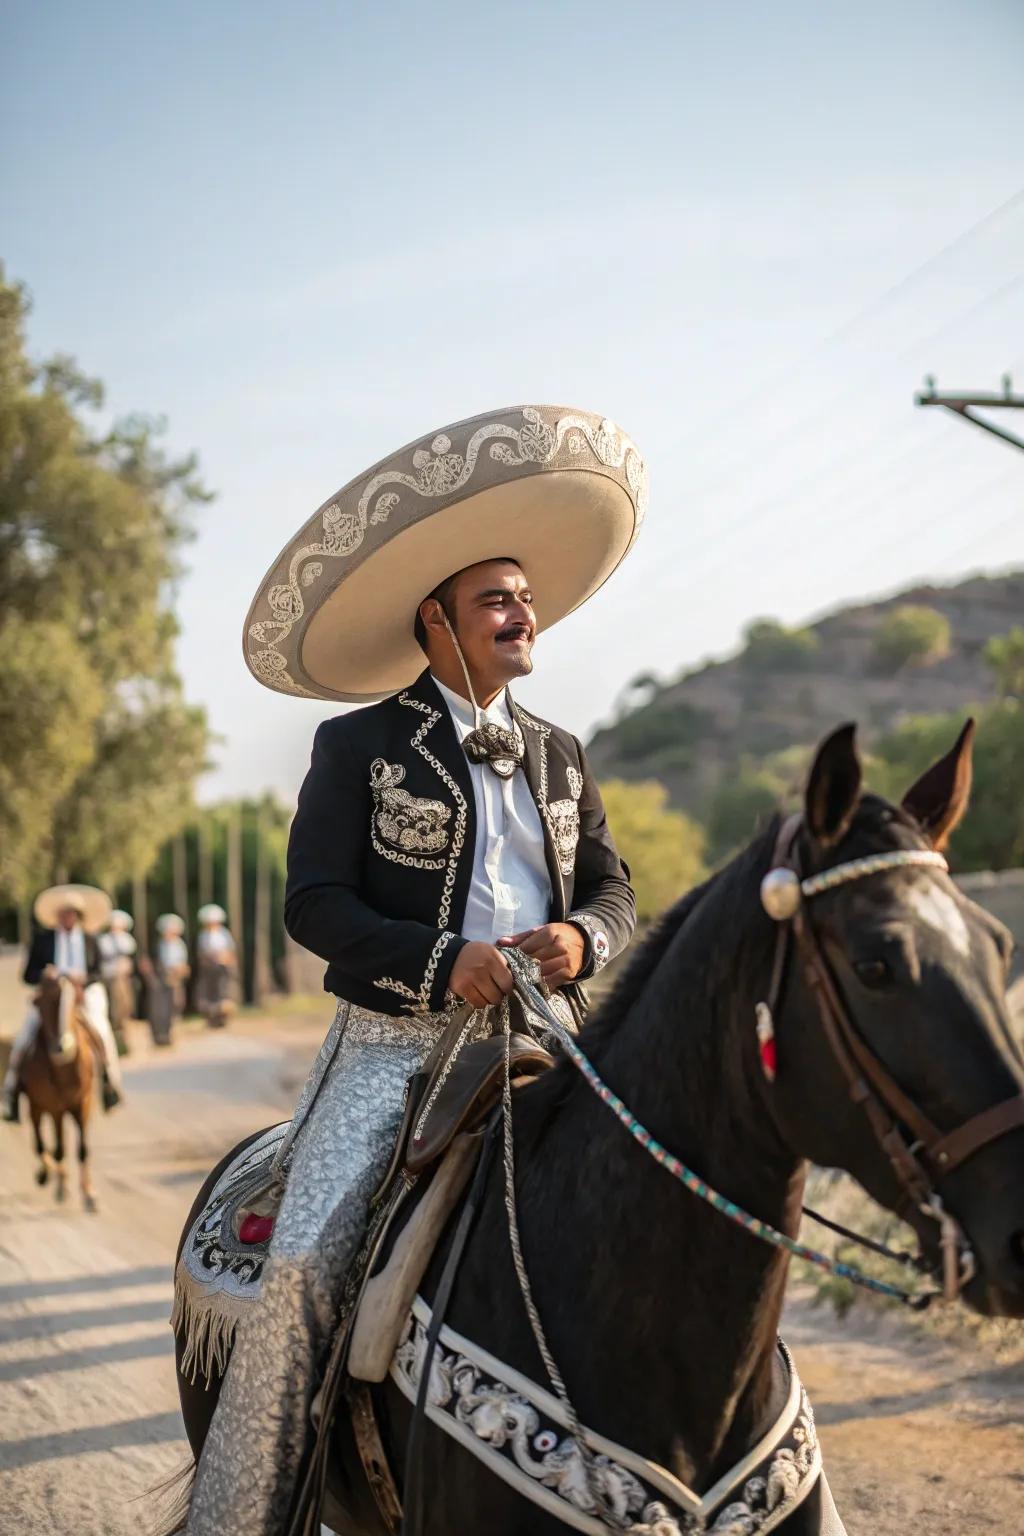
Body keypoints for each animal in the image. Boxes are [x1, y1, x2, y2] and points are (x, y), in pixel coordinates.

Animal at [21, 970, 99, 1210]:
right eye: (46, 1002)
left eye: (76, 1002)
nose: (63, 1047)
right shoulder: (53, 1108)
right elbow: (57, 1148)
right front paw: (60, 1186)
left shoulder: (83, 1103)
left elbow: (82, 1148)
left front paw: (89, 1193)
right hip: (38, 1108)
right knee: (42, 1144)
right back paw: (48, 1176)